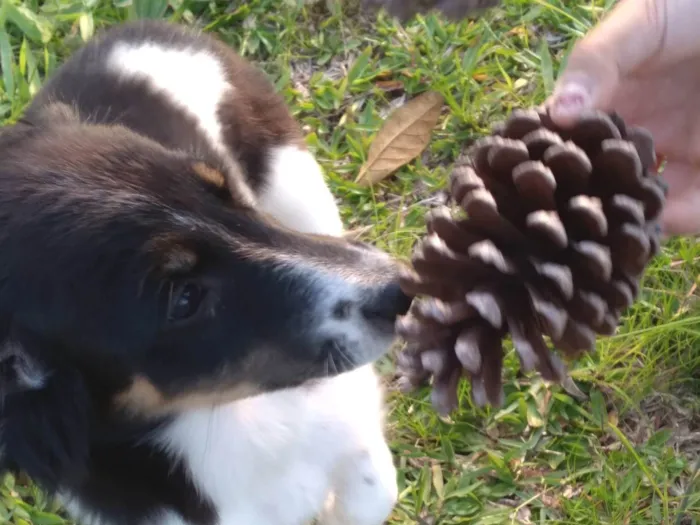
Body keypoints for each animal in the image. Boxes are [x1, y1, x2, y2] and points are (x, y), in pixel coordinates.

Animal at [0, 18, 410, 520]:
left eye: (223, 194)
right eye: (184, 299)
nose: (400, 287)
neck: (220, 416)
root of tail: (132, 28)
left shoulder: (347, 407)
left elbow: (370, 494)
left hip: (295, 184)